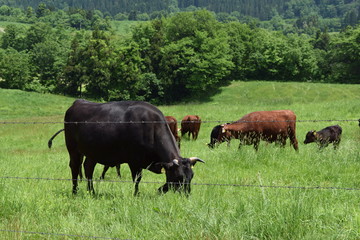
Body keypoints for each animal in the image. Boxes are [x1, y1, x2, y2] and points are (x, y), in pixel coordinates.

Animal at [51, 99, 205, 195]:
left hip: (93, 152)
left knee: (88, 168)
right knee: (75, 167)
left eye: (191, 176)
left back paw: (91, 191)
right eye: (179, 177)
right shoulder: (134, 161)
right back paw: (75, 191)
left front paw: (160, 189)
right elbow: (137, 179)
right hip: (73, 149)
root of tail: (77, 102)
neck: (151, 127)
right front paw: (136, 194)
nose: (186, 195)